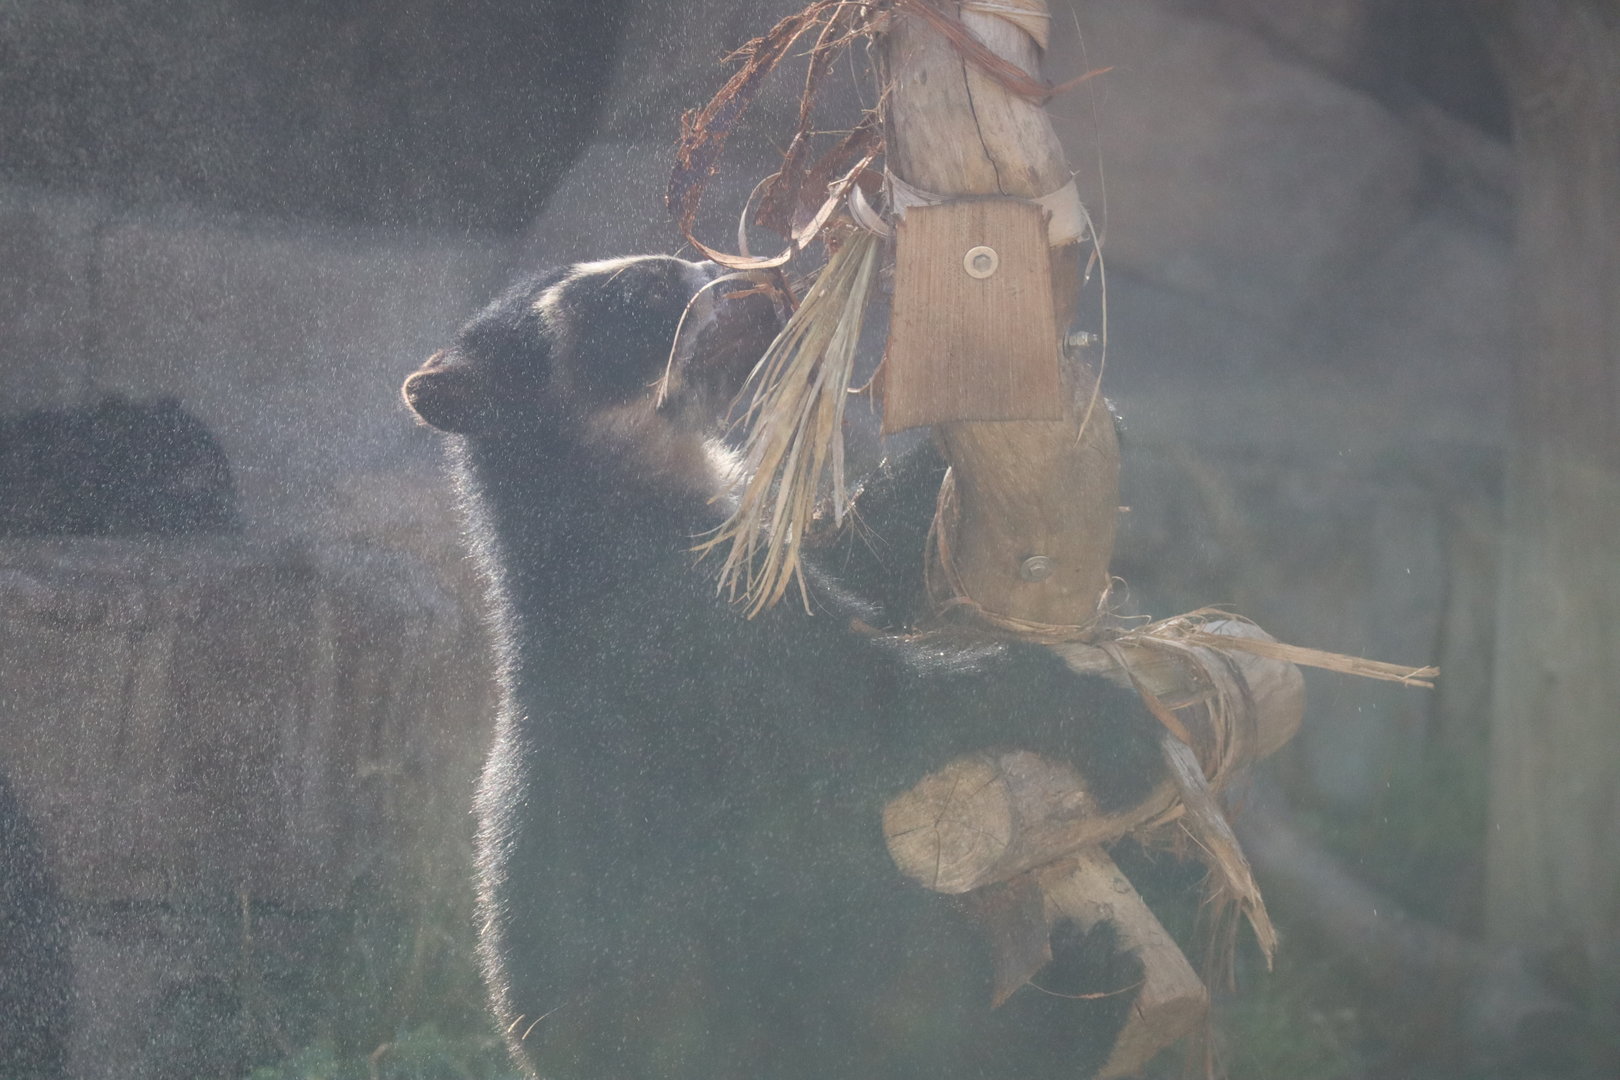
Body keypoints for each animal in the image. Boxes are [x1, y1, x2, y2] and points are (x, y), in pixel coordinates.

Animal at [402, 254, 1163, 1080]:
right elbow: (861, 713)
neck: (628, 499)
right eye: (639, 291)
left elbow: (844, 563)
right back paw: (1095, 979)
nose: (755, 281)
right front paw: (1121, 732)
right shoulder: (689, 647)